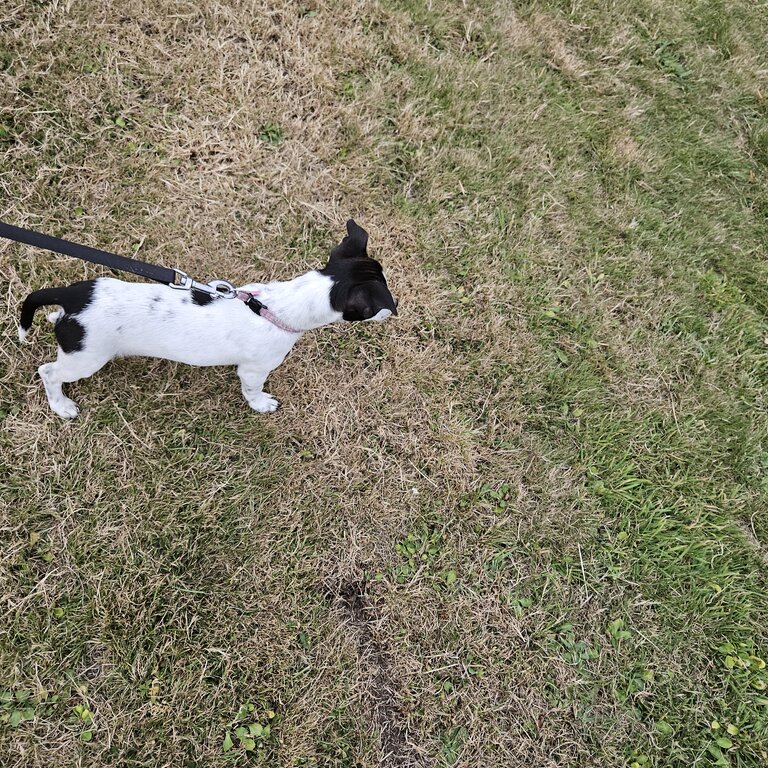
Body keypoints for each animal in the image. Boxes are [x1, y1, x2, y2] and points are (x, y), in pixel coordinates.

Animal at [19, 216, 396, 420]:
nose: (396, 310)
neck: (279, 305)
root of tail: (72, 297)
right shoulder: (254, 370)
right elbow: (252, 389)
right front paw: (260, 404)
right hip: (87, 358)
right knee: (48, 372)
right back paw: (61, 405)